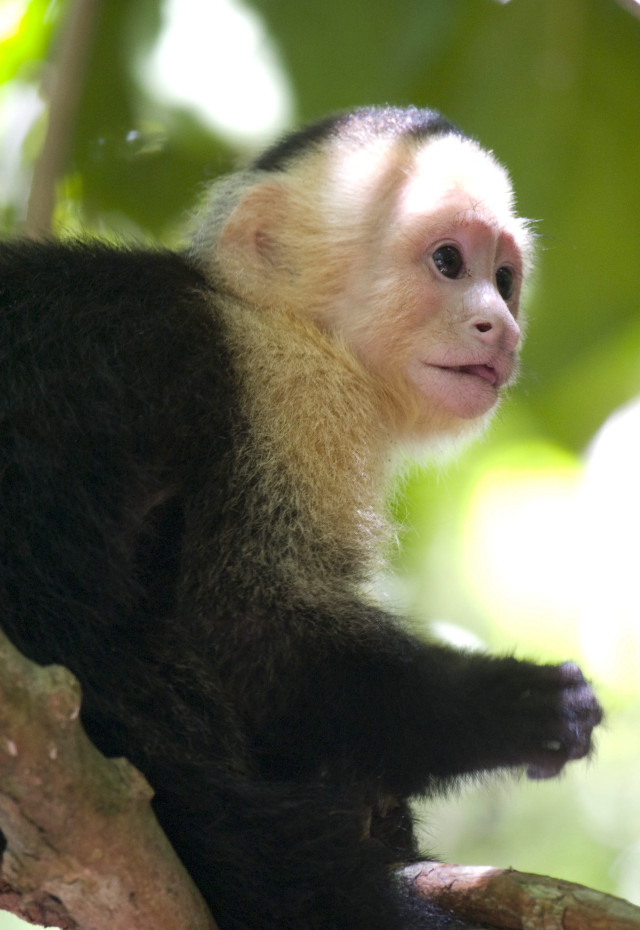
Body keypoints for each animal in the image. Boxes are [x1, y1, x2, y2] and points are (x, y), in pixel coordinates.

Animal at [0, 106, 602, 930]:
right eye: (449, 263)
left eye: (505, 280)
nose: (502, 329)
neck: (285, 324)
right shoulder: (285, 394)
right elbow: (244, 624)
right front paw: (501, 707)